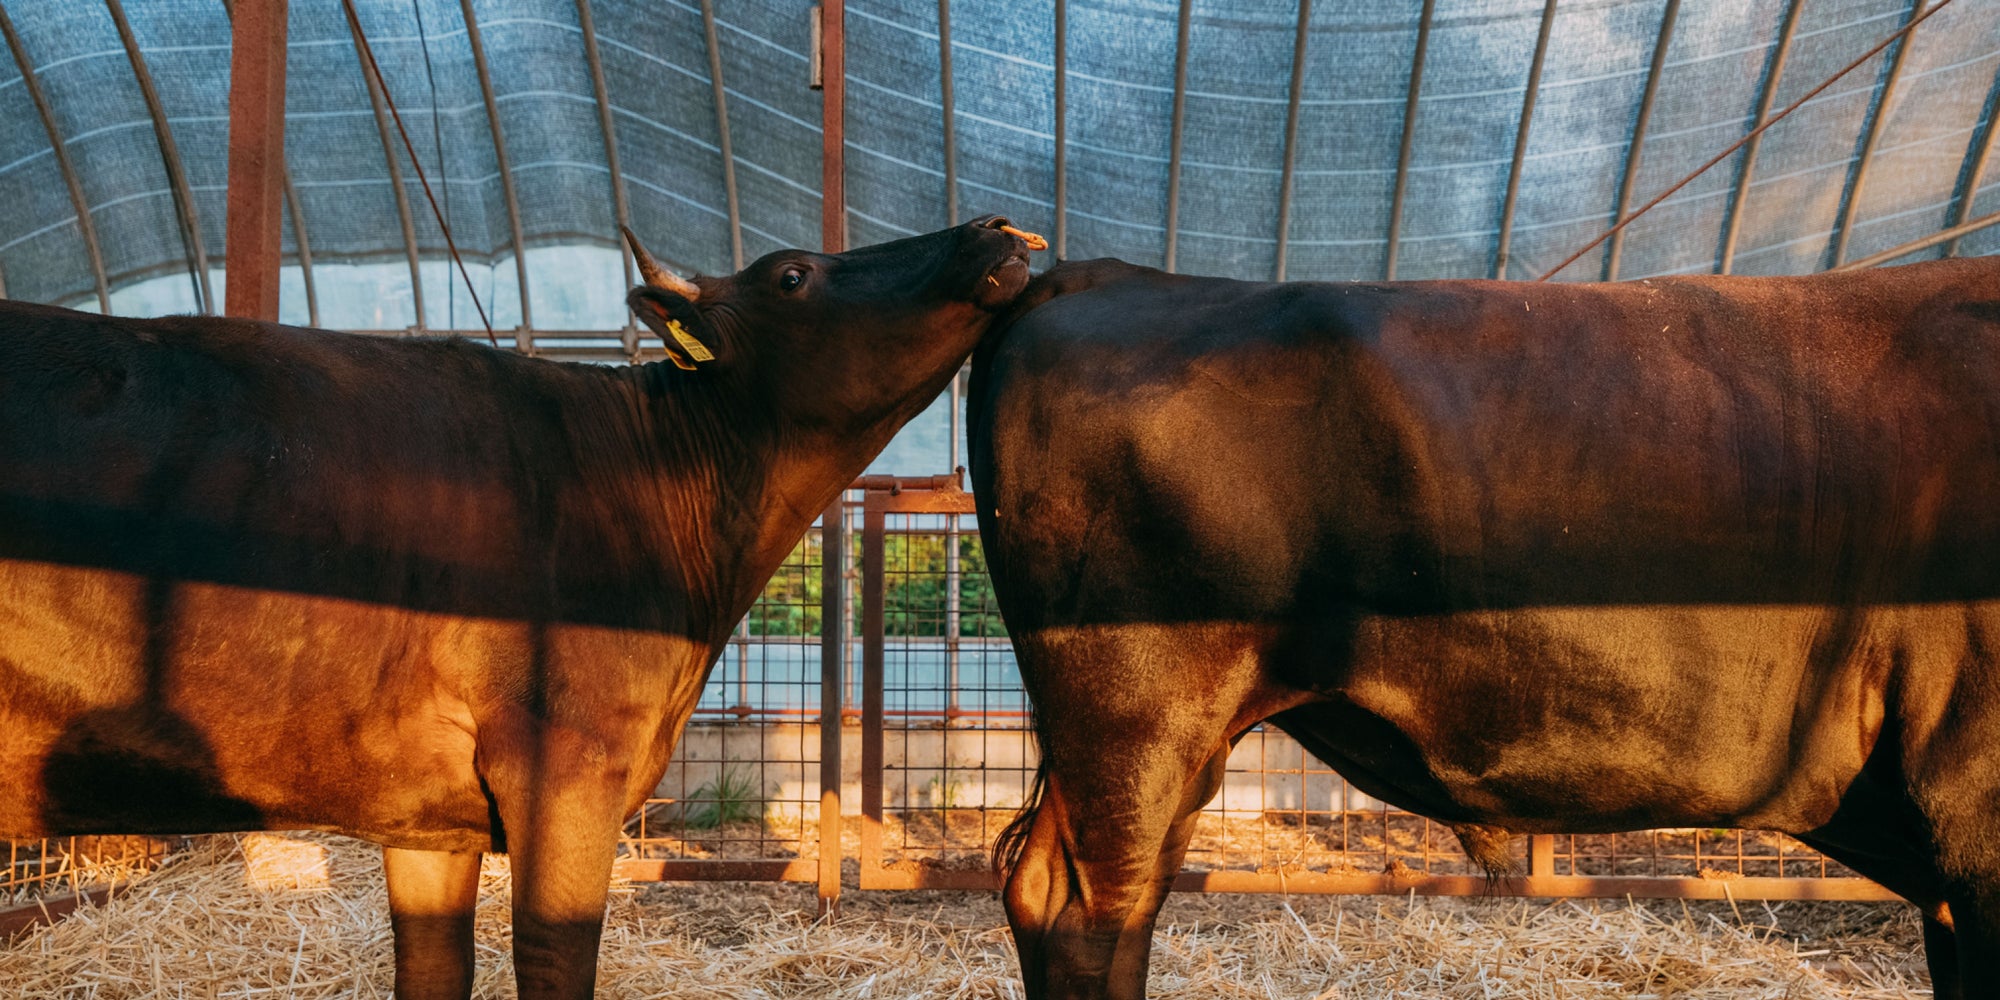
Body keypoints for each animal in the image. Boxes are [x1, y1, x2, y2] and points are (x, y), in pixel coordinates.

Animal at [0, 219, 1032, 1000]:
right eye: (792, 274)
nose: (992, 228)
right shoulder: (565, 768)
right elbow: (553, 962)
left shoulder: (426, 813)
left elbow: (432, 969)